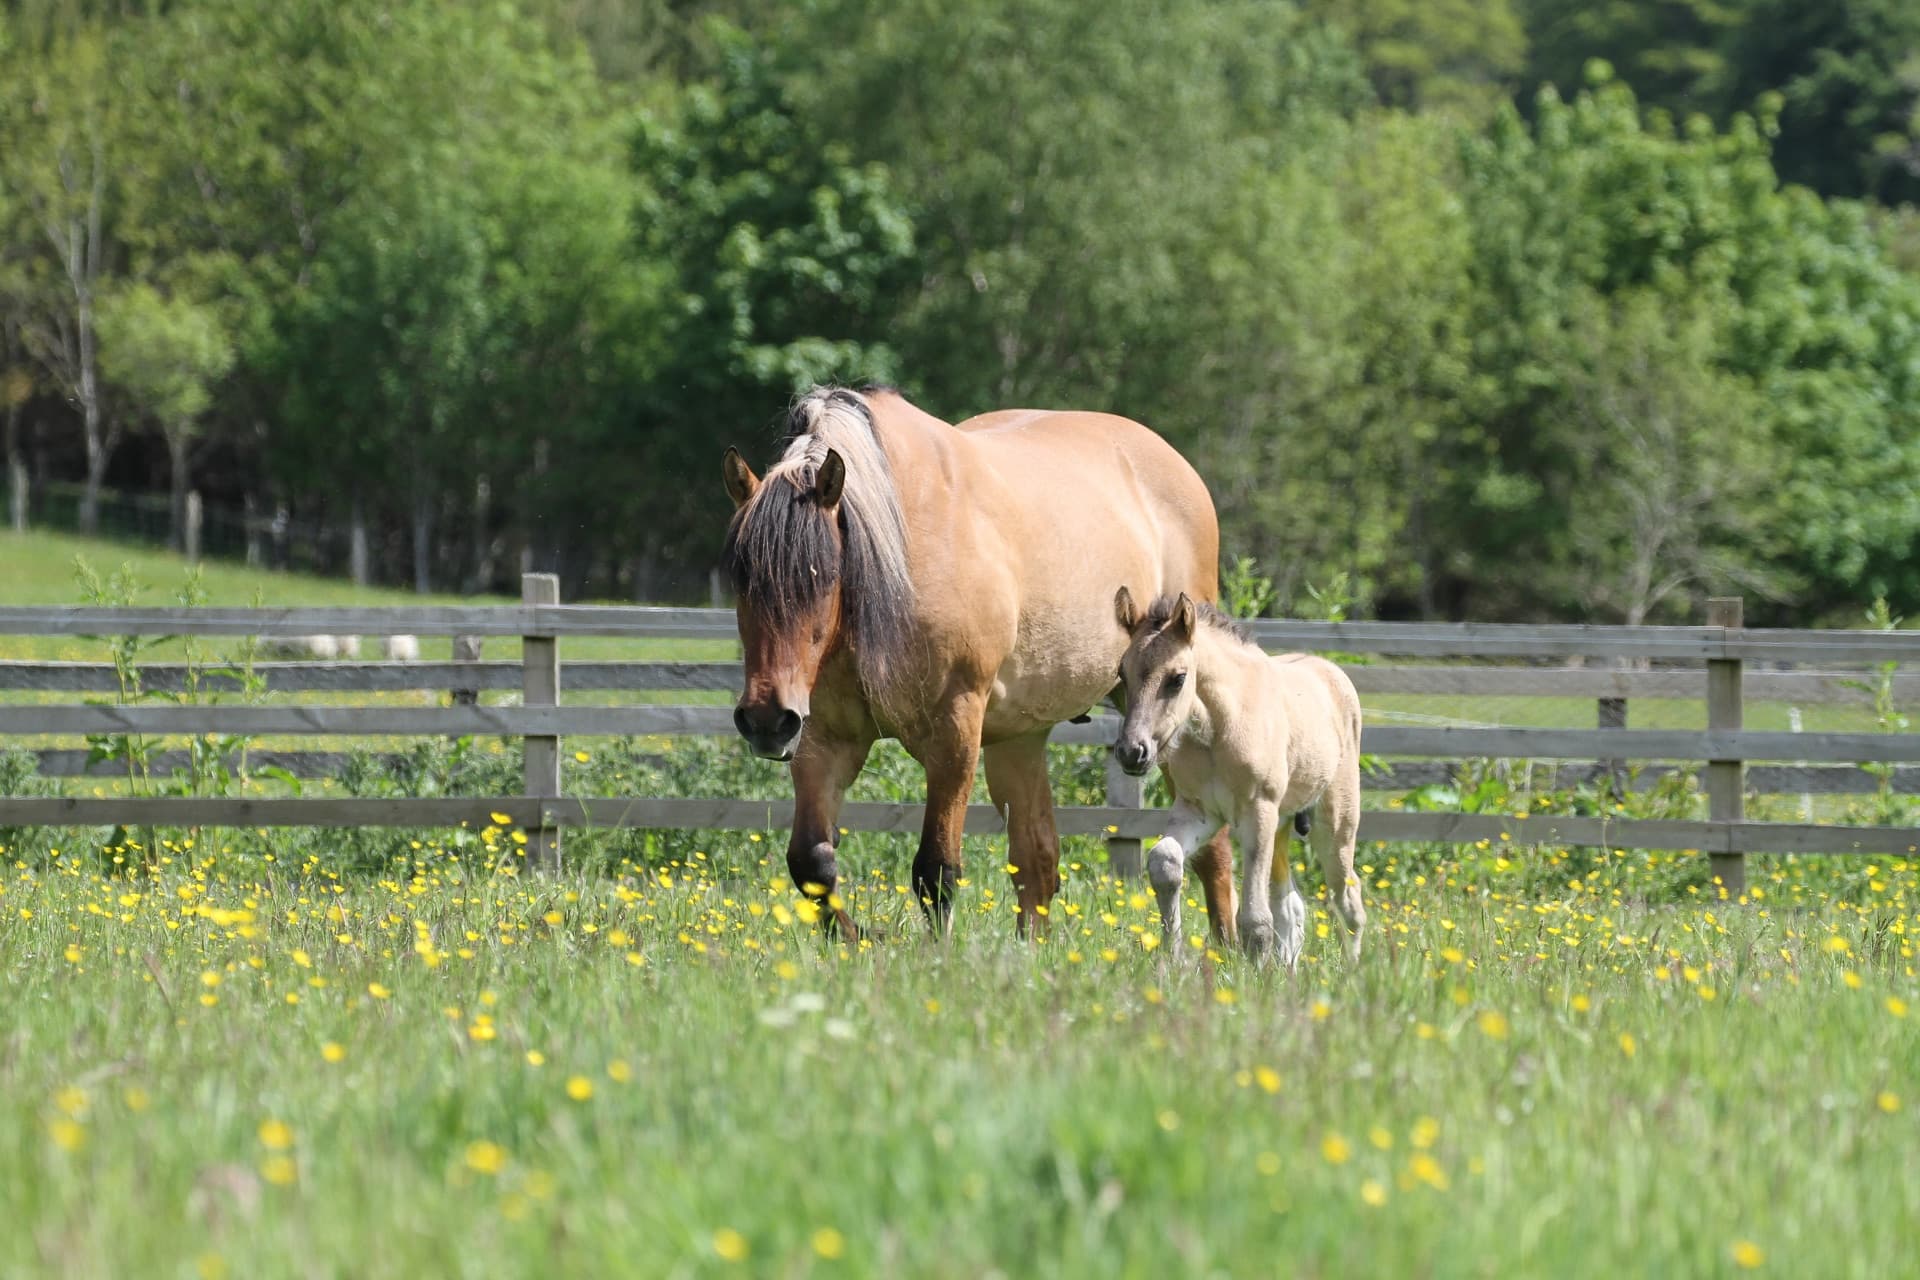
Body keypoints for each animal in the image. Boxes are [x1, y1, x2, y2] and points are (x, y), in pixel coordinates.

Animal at [721, 385, 1233, 935]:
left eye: (821, 574)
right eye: (740, 577)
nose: (766, 720)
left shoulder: (956, 728)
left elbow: (936, 870)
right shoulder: (823, 736)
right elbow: (812, 862)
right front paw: (860, 940)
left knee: (1213, 850)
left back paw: (1230, 946)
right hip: (1019, 738)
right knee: (1036, 860)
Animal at [1111, 588, 1366, 966]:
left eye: (1177, 678)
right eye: (1122, 673)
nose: (1132, 752)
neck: (1216, 729)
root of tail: (1332, 672)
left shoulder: (1257, 811)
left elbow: (1256, 918)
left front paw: (1255, 974)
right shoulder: (1198, 811)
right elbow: (1165, 862)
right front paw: (1173, 958)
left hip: (1335, 823)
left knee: (1347, 900)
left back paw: (1352, 970)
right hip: (1282, 822)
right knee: (1291, 905)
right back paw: (1288, 968)